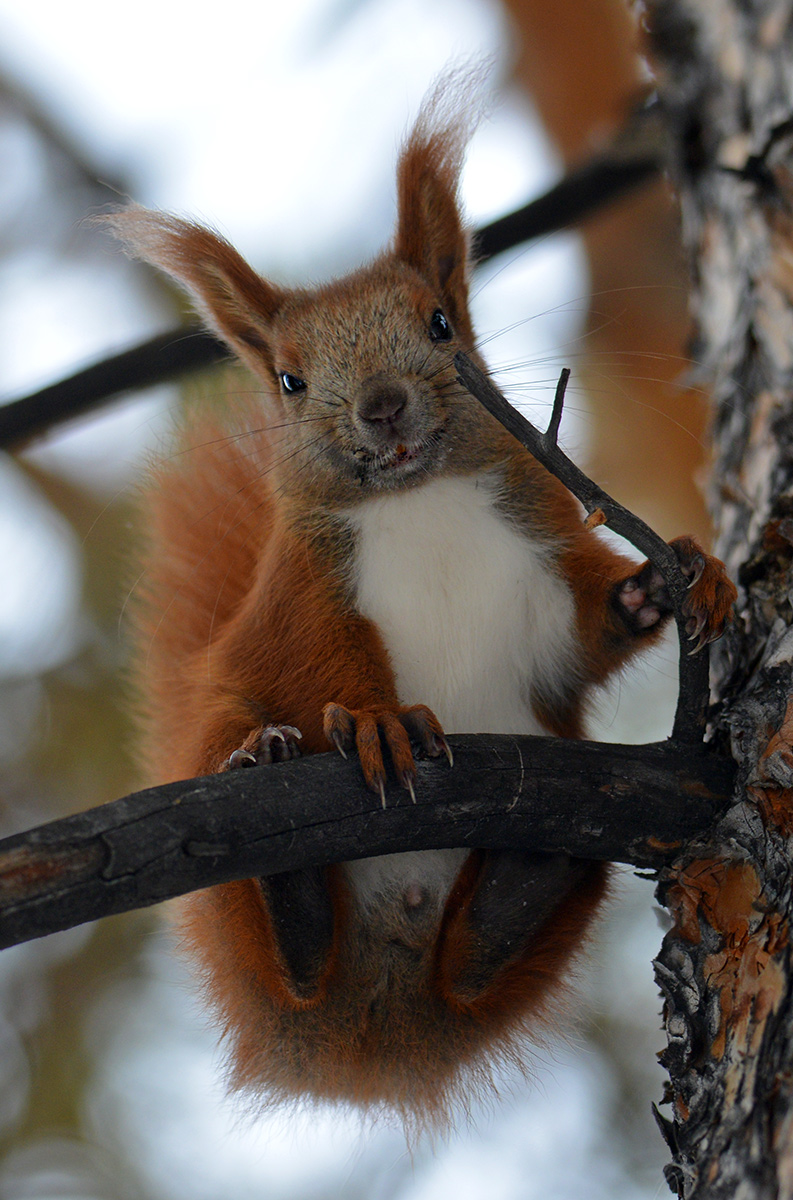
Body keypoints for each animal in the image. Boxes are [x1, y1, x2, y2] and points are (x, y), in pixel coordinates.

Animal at [106, 75, 734, 1123]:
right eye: (289, 379)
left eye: (440, 323)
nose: (382, 406)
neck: (420, 499)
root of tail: (377, 1011)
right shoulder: (306, 594)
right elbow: (319, 660)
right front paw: (375, 723)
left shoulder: (543, 560)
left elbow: (588, 627)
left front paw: (669, 579)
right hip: (223, 775)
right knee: (288, 951)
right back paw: (285, 867)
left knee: (471, 970)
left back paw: (526, 874)